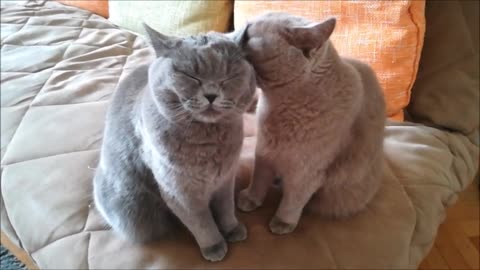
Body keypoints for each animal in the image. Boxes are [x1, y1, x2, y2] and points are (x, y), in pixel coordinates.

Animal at [94, 23, 258, 262]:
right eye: (189, 75)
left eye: (229, 76)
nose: (211, 94)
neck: (209, 142)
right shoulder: (179, 191)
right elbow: (201, 223)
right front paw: (214, 246)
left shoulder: (226, 178)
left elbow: (226, 207)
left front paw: (232, 229)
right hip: (131, 208)